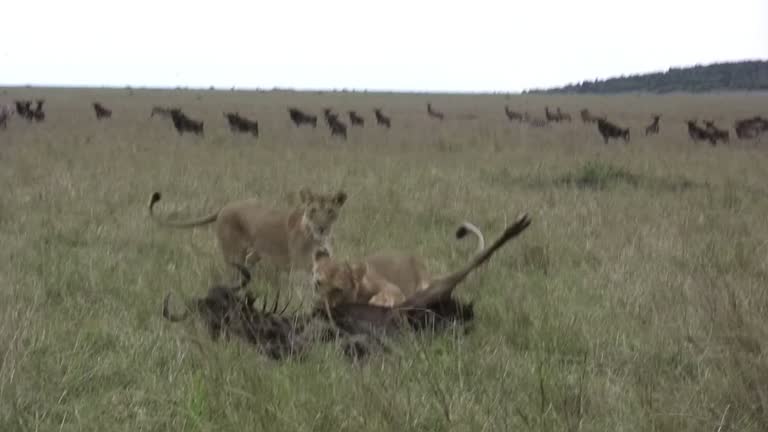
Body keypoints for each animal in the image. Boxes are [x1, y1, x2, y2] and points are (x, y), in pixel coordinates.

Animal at [148, 188, 348, 276]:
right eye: (313, 211)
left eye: (330, 212)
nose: (322, 227)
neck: (319, 238)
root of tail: (225, 207)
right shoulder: (300, 267)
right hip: (233, 254)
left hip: (253, 253)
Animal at [312, 221, 486, 308]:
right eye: (318, 283)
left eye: (338, 289)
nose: (319, 305)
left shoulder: (394, 289)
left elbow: (388, 294)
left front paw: (379, 301)